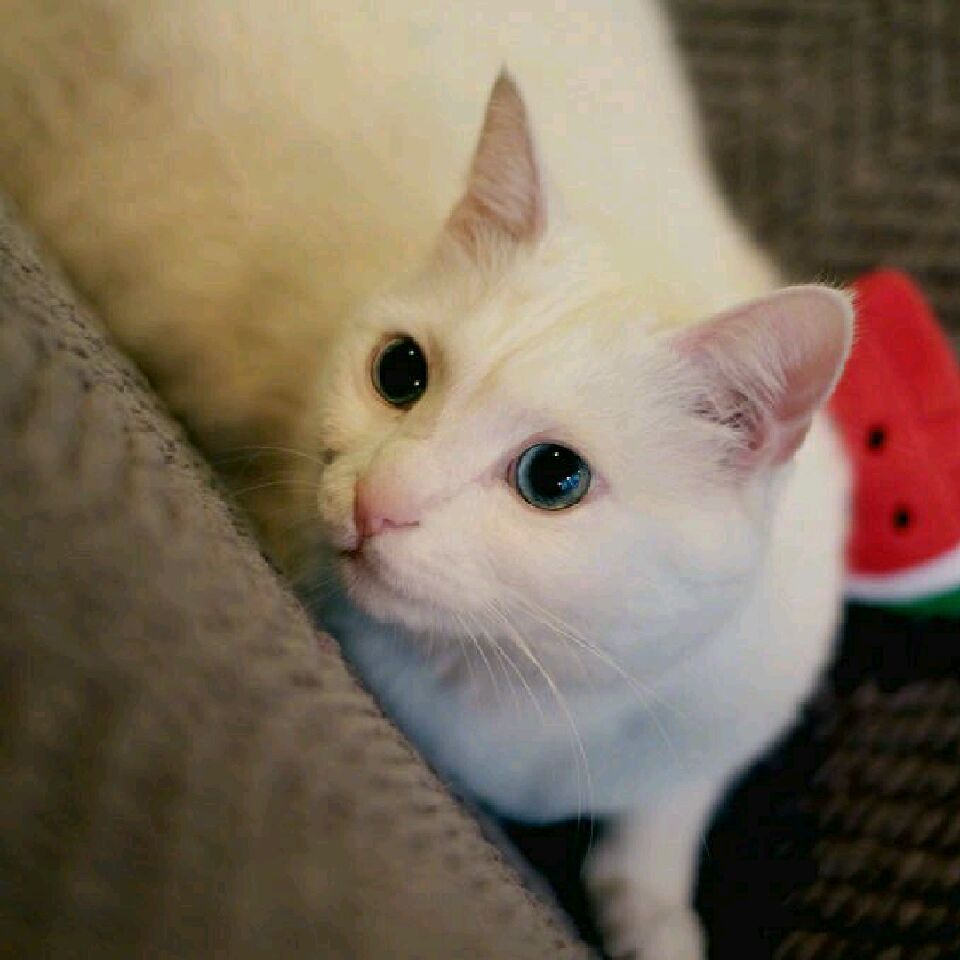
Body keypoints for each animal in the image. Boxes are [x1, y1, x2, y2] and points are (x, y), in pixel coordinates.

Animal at [0, 2, 853, 956]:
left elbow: (669, 809)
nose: (380, 500)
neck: (516, 689)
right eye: (400, 371)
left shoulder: (745, 687)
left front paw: (656, 921)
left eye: (555, 475)